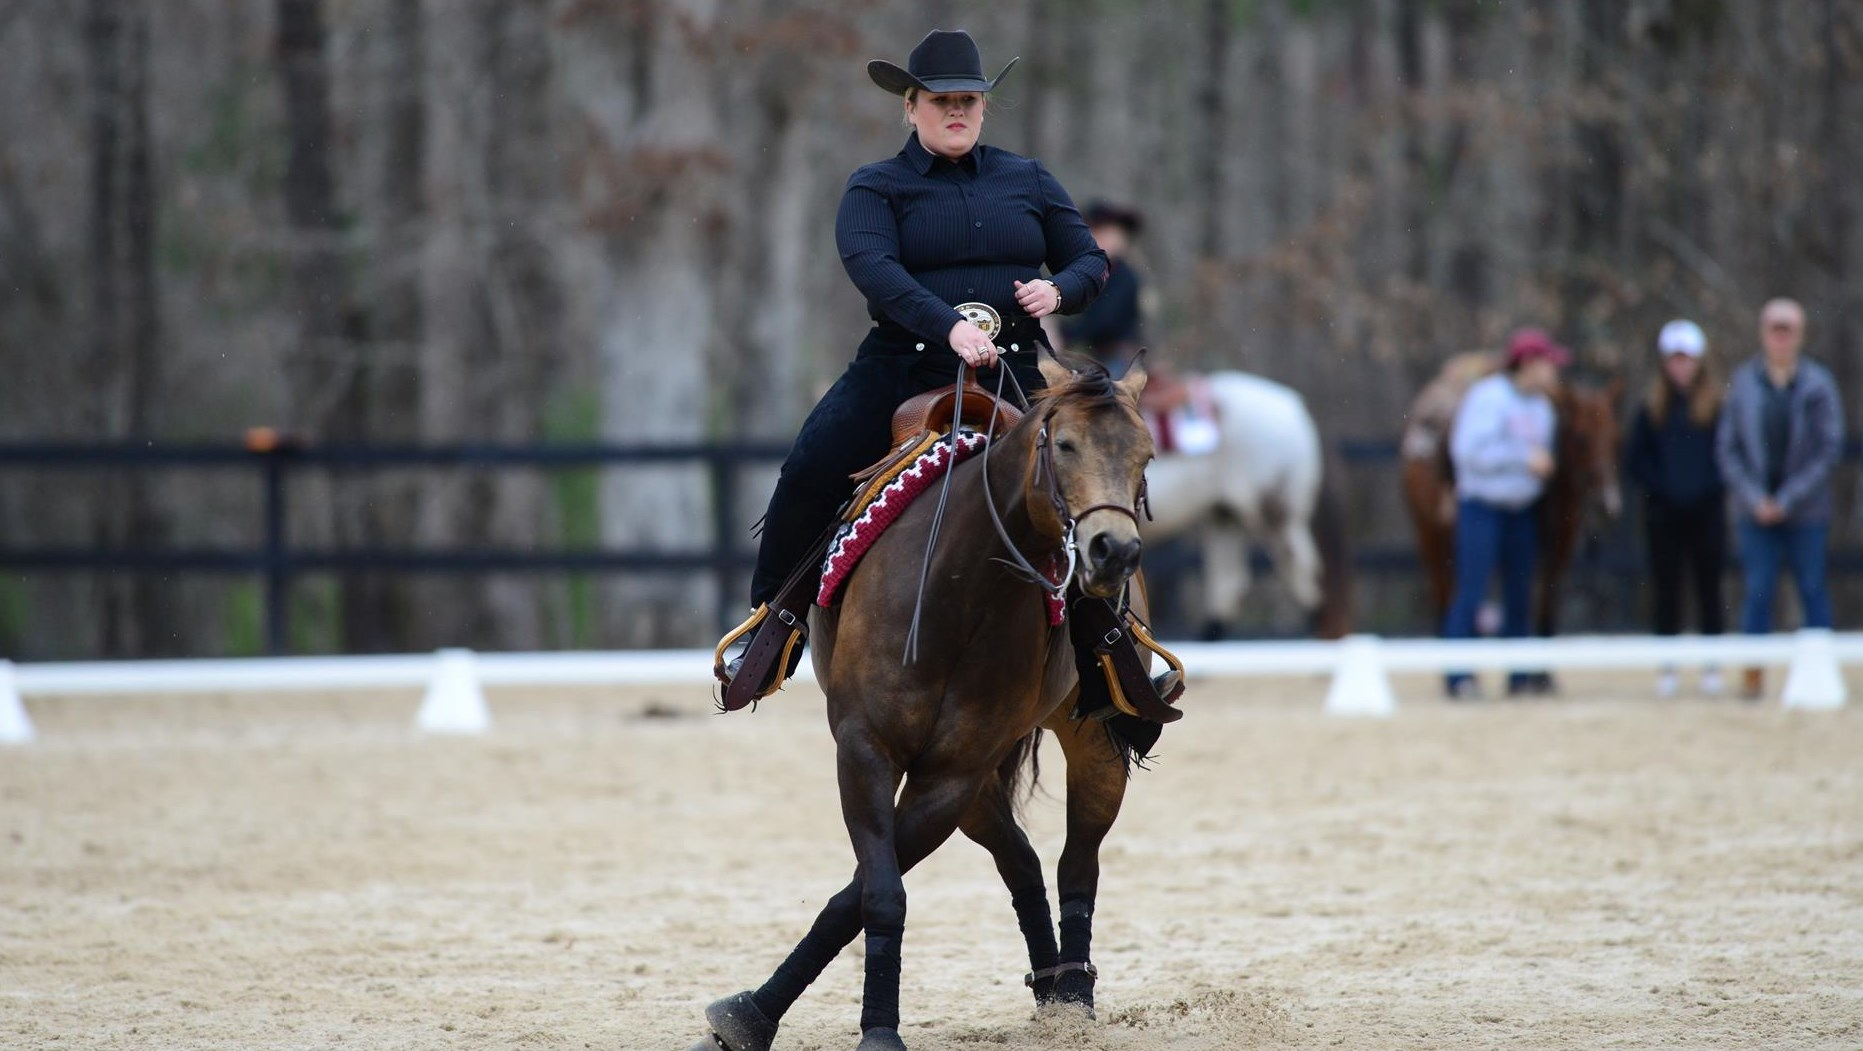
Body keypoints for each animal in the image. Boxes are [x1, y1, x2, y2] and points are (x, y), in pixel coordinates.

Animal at [693, 355, 1162, 1051]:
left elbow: (862, 894)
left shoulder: (949, 775)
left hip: (1083, 747)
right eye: (1065, 444)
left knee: (1077, 862)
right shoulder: (867, 749)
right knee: (1021, 859)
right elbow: (877, 891)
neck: (959, 591)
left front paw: (841, 1022)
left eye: (1145, 455)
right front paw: (759, 1016)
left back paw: (1074, 997)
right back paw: (1051, 988)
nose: (1115, 552)